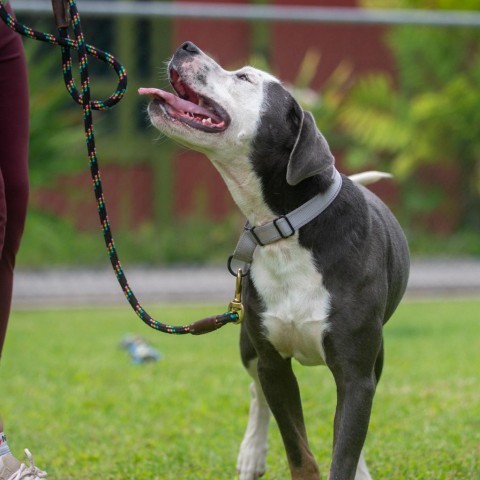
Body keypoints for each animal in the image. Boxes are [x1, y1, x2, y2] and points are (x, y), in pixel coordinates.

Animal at [138, 41, 408, 480]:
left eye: (245, 77)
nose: (186, 46)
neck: (286, 228)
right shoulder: (272, 363)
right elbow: (297, 449)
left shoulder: (356, 373)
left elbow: (345, 447)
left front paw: (352, 464)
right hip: (248, 345)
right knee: (256, 390)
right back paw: (252, 453)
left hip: (373, 357)